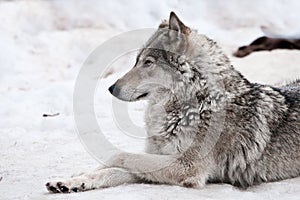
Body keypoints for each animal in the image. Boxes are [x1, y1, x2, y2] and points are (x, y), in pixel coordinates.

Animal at [45, 11, 298, 193]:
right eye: (136, 60)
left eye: (148, 62)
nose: (111, 88)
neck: (194, 105)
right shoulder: (161, 158)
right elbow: (112, 169)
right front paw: (72, 180)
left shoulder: (185, 167)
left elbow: (118, 156)